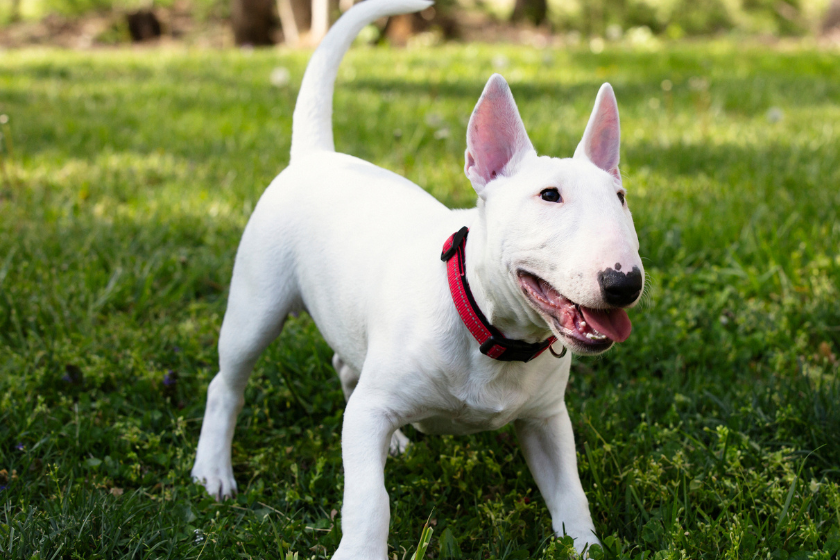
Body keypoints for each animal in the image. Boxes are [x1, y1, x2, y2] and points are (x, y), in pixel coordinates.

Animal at [194, 0, 648, 556]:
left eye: (621, 199)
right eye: (549, 195)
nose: (625, 283)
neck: (488, 327)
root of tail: (316, 155)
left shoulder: (546, 420)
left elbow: (569, 492)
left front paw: (585, 546)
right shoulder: (368, 413)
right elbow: (370, 498)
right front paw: (360, 551)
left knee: (346, 366)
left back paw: (394, 440)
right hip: (256, 306)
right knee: (226, 384)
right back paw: (213, 470)